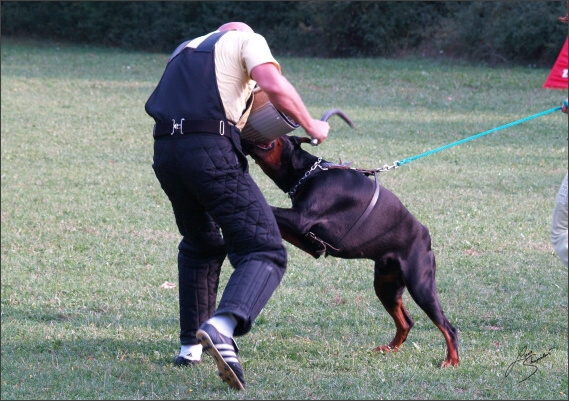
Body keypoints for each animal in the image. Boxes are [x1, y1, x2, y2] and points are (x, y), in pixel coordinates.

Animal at [242, 115, 460, 366]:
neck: (308, 174)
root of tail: (426, 236)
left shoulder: (301, 219)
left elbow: (270, 208)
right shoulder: (308, 239)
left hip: (420, 284)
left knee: (448, 327)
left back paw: (452, 360)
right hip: (386, 284)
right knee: (407, 321)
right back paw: (389, 348)